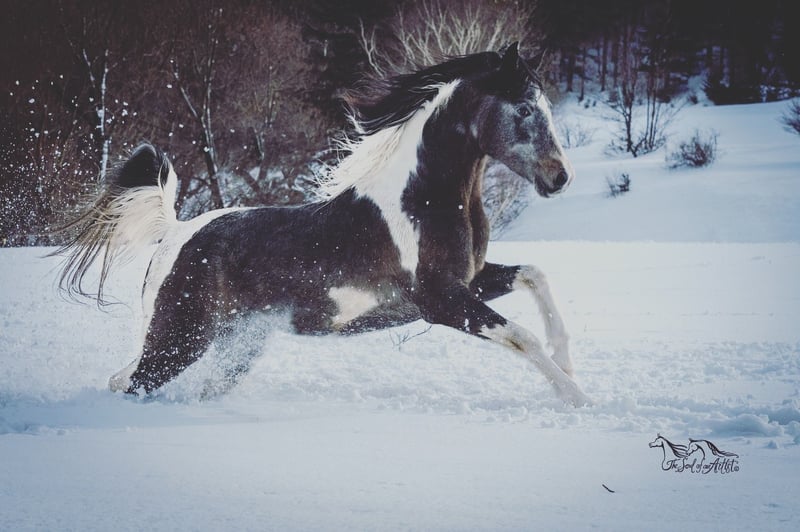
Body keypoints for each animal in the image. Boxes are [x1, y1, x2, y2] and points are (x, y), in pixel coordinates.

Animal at [54, 43, 590, 407]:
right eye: (525, 109)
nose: (560, 177)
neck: (422, 200)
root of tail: (175, 234)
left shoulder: (471, 281)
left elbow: (535, 275)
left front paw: (568, 361)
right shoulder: (440, 301)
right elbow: (521, 335)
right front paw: (576, 397)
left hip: (225, 342)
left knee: (148, 381)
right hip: (181, 338)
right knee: (131, 383)